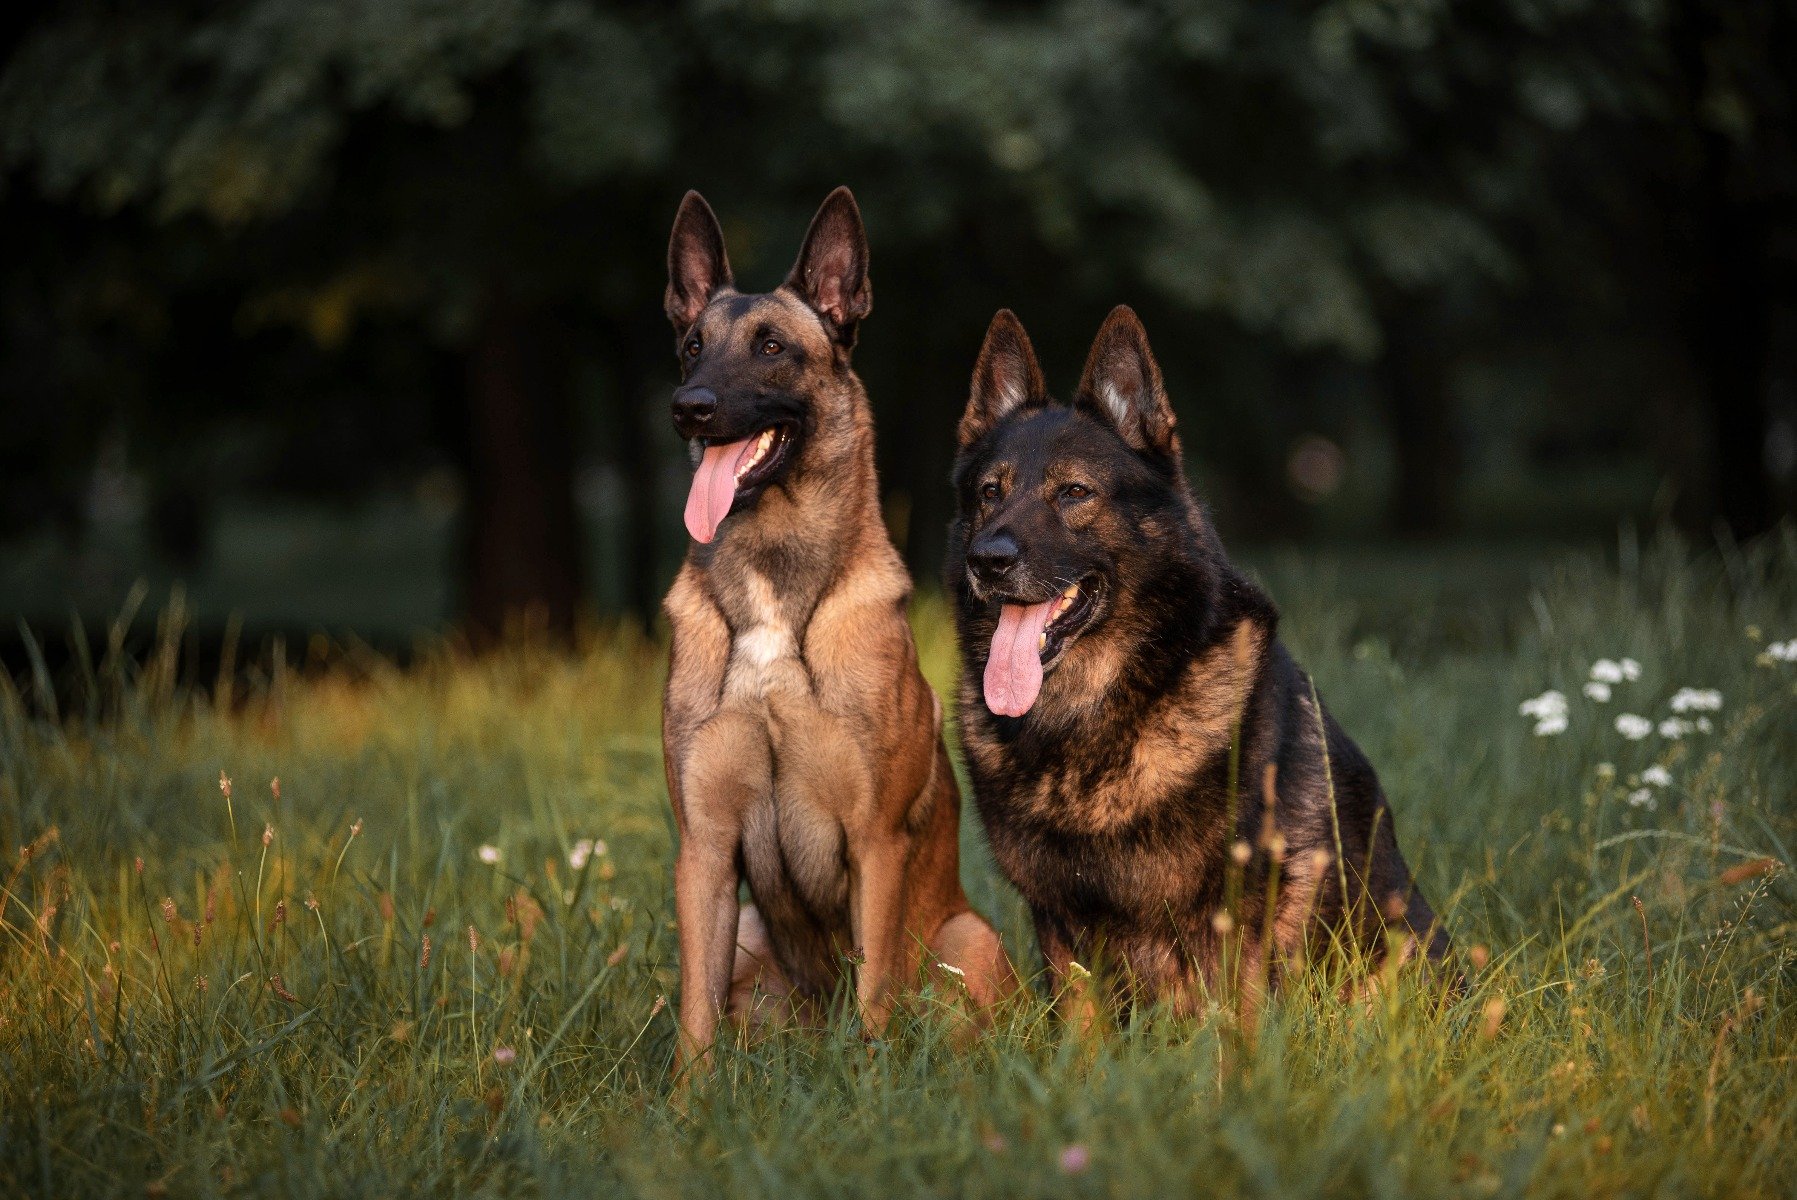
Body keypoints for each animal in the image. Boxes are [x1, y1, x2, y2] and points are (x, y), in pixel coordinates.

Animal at [664, 187, 1027, 1070]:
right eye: (690, 346)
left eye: (771, 347)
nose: (689, 408)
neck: (773, 581)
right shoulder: (703, 850)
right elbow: (695, 1019)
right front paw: (689, 1099)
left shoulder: (874, 843)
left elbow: (875, 992)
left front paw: (868, 1080)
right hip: (749, 928)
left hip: (968, 940)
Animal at [948, 307, 1451, 1013]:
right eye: (991, 493)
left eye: (1073, 493)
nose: (987, 561)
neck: (1083, 726)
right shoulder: (1058, 922)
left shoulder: (1234, 921)